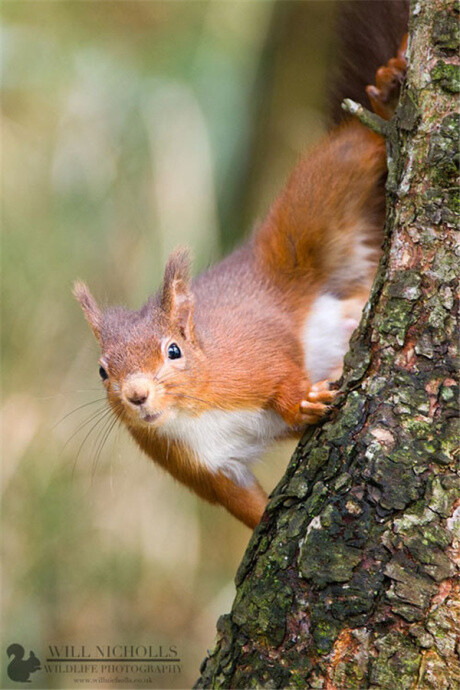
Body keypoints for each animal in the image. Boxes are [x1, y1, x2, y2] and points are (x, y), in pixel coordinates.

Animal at [73, 9, 408, 528]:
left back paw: (386, 99)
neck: (191, 412)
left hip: (309, 211)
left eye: (173, 351)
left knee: (355, 150)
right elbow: (247, 506)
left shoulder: (251, 354)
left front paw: (301, 401)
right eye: (103, 371)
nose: (137, 395)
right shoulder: (202, 466)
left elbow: (282, 368)